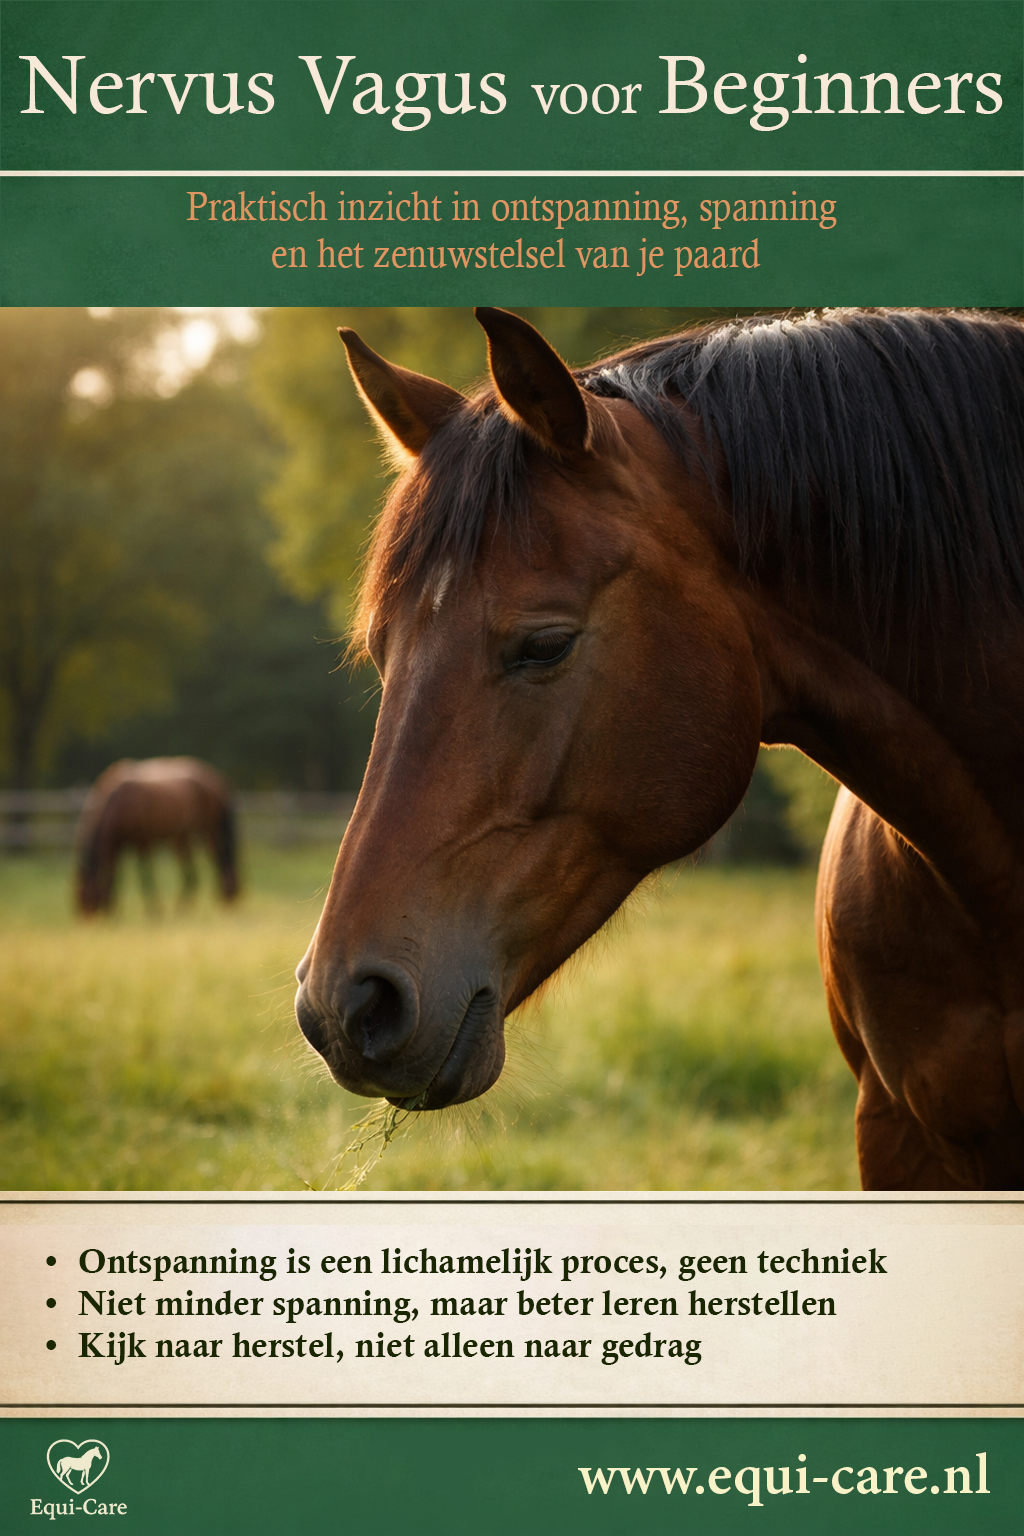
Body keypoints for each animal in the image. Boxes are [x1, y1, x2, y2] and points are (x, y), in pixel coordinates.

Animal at [75, 756, 238, 914]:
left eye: (87, 900)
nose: (88, 920)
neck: (117, 800)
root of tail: (216, 780)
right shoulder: (116, 845)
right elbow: (113, 875)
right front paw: (112, 908)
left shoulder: (142, 842)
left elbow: (145, 878)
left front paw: (153, 911)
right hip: (181, 837)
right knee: (193, 873)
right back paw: (186, 907)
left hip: (211, 831)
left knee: (219, 860)